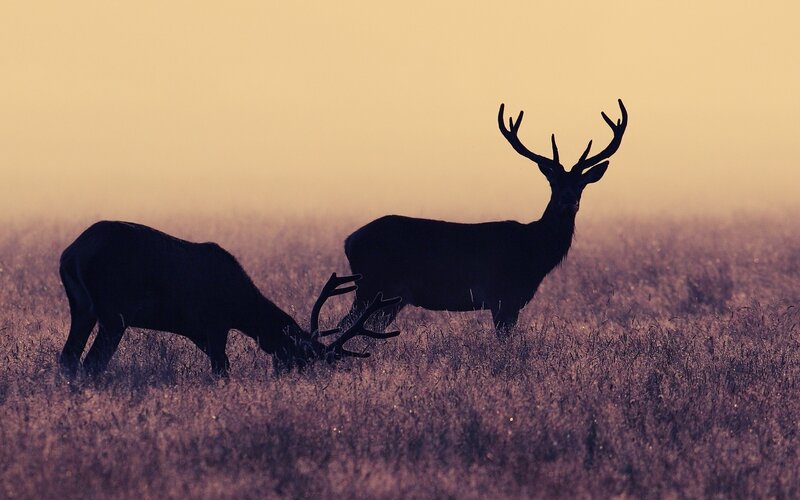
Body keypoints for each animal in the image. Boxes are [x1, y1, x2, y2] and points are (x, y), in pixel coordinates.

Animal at [58, 221, 401, 377]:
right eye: (302, 359)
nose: (286, 380)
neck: (241, 306)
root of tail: (72, 254)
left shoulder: (200, 331)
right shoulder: (215, 322)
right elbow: (221, 368)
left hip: (82, 308)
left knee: (68, 358)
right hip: (113, 311)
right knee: (92, 362)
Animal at [340, 99, 627, 336]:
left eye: (581, 185)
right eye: (553, 183)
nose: (568, 201)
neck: (534, 252)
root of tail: (349, 240)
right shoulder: (504, 296)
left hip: (388, 296)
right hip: (374, 286)